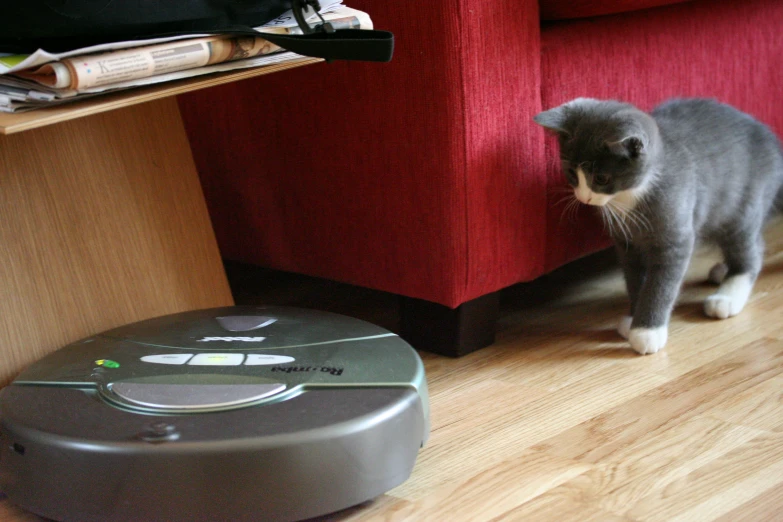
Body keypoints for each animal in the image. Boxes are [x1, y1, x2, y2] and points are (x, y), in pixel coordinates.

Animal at [532, 97, 783, 354]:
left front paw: (647, 331)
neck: (630, 196)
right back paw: (723, 270)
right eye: (572, 174)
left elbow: (661, 285)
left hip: (743, 205)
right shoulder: (628, 245)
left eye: (601, 179)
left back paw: (728, 296)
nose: (585, 198)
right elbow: (635, 279)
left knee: (750, 249)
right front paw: (633, 319)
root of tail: (772, 140)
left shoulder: (675, 238)